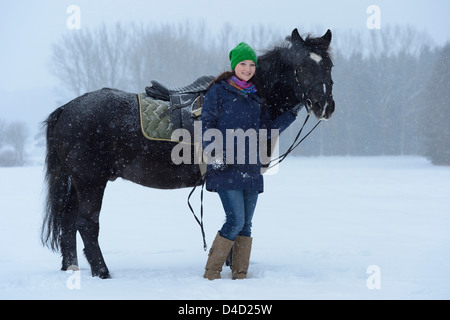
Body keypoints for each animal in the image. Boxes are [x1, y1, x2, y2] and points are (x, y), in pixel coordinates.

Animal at [41, 28, 334, 278]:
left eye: (329, 66)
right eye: (302, 67)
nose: (324, 106)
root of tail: (66, 109)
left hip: (77, 181)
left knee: (68, 220)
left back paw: (71, 267)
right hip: (90, 180)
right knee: (87, 224)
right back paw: (102, 272)